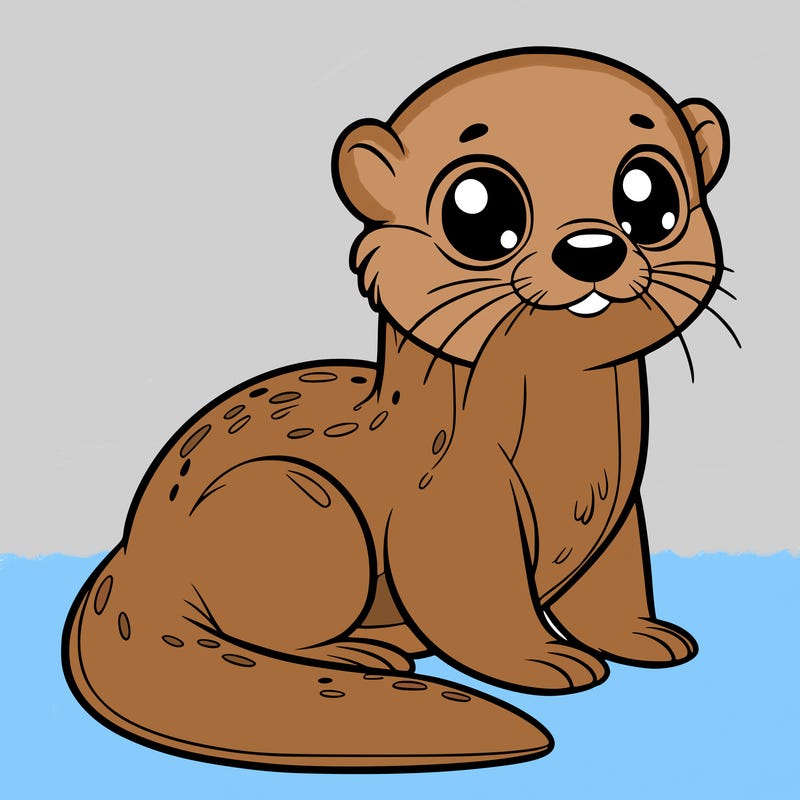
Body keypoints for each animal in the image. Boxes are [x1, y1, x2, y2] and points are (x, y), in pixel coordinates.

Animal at [62, 48, 729, 772]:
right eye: (478, 208)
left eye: (650, 194)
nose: (592, 249)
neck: (572, 458)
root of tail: (133, 556)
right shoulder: (452, 507)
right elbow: (477, 605)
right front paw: (544, 660)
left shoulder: (618, 509)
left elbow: (611, 587)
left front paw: (642, 635)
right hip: (293, 500)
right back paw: (361, 653)